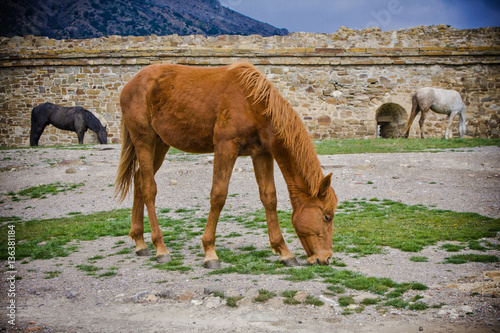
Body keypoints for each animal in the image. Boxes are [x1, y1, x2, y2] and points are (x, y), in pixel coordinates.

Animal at [115, 61, 338, 268]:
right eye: (327, 217)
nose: (326, 258)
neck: (252, 103)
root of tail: (130, 85)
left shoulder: (262, 154)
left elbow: (269, 198)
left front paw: (284, 251)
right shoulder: (225, 148)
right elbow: (218, 196)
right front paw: (210, 251)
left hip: (160, 144)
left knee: (139, 181)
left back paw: (140, 242)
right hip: (144, 140)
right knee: (148, 188)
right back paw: (160, 247)